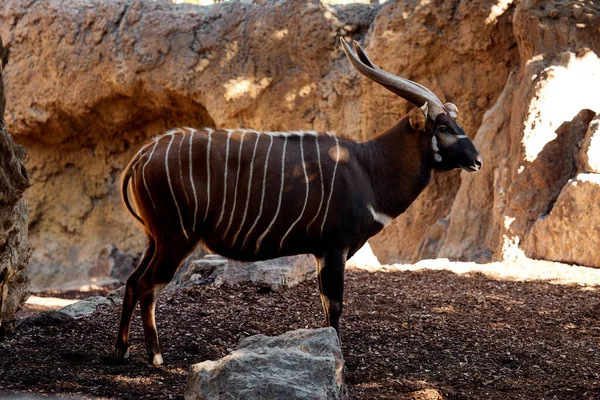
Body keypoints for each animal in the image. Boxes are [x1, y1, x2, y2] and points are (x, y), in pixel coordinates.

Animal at [115, 39, 482, 366]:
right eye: (444, 126)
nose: (477, 161)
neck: (368, 167)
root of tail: (144, 154)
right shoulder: (334, 248)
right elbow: (334, 304)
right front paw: (338, 358)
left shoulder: (322, 252)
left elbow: (324, 302)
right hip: (176, 238)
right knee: (147, 284)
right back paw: (156, 357)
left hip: (155, 239)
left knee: (132, 281)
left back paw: (121, 352)